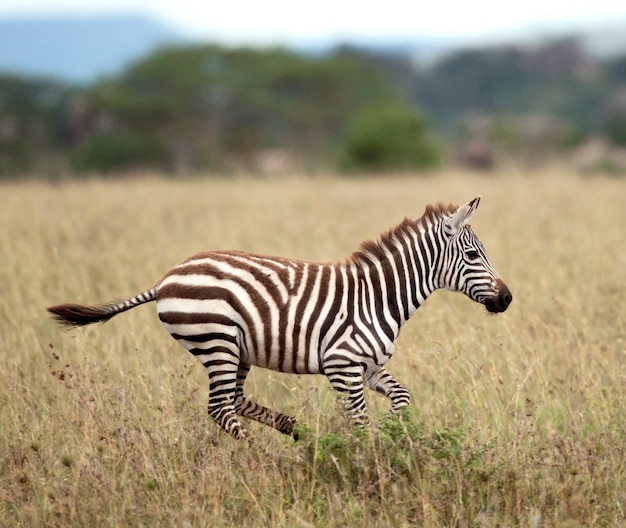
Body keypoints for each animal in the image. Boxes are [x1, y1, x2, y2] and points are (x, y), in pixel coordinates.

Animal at [47, 196, 508, 440]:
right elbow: (359, 421)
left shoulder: (370, 366)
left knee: (233, 400)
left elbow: (403, 398)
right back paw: (256, 453)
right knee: (220, 408)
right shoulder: (342, 365)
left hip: (237, 350)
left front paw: (396, 435)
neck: (379, 297)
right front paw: (369, 456)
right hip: (217, 342)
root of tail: (164, 279)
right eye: (472, 255)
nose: (507, 299)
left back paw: (293, 429)